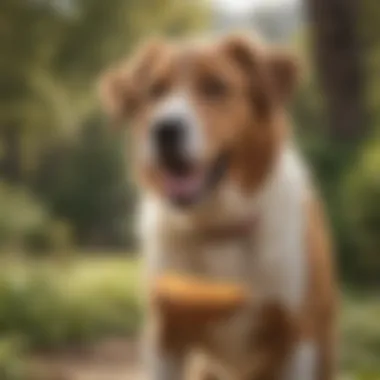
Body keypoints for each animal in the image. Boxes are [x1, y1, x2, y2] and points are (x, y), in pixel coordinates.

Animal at [99, 31, 336, 380]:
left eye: (215, 86)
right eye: (155, 90)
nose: (164, 129)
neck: (218, 227)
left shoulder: (297, 334)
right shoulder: (166, 333)